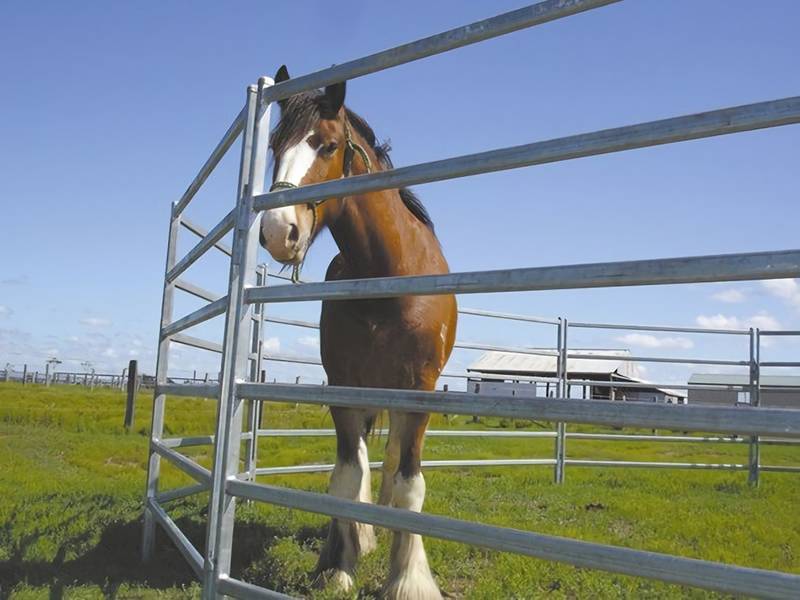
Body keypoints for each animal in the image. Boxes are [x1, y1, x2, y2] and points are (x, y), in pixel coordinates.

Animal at [258, 65, 457, 600]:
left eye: (327, 145)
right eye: (274, 147)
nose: (277, 231)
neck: (388, 277)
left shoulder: (418, 391)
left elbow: (408, 482)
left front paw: (408, 579)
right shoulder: (344, 387)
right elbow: (347, 476)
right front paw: (339, 566)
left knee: (390, 462)